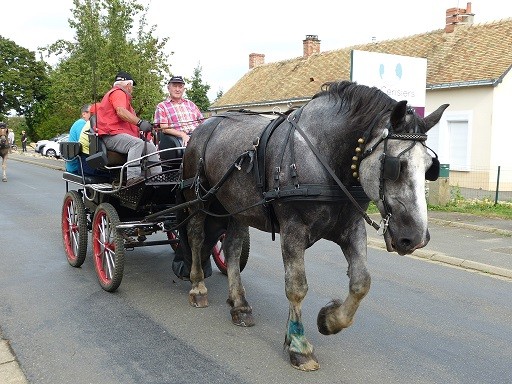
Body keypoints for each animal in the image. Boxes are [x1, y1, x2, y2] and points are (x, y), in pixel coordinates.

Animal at [180, 80, 448, 368]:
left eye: (431, 167)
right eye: (397, 166)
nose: (416, 238)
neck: (325, 157)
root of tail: (206, 123)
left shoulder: (351, 227)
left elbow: (361, 282)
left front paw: (329, 320)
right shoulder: (293, 229)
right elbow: (297, 286)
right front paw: (299, 345)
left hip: (238, 208)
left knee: (231, 248)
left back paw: (239, 304)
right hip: (198, 198)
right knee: (196, 236)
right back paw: (197, 287)